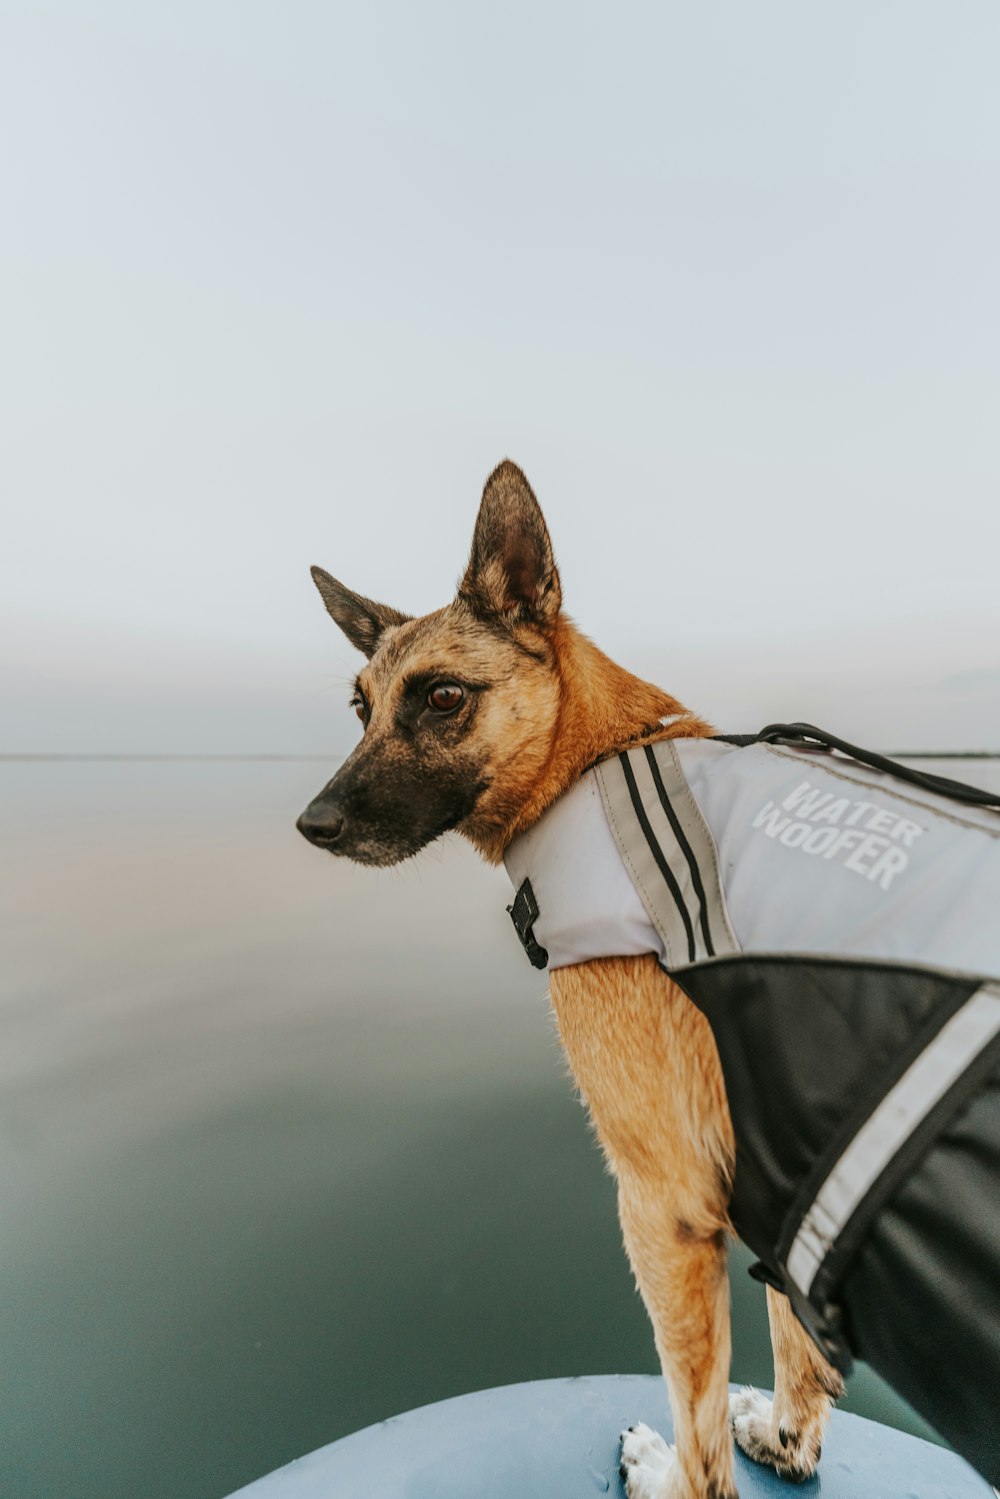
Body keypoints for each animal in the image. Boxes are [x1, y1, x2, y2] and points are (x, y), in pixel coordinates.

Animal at [296, 461, 1000, 1493]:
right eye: (362, 707)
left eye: (443, 697)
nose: (312, 825)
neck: (594, 757)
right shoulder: (776, 1184)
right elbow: (793, 1345)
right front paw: (788, 1435)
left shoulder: (662, 1207)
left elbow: (702, 1451)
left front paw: (668, 1465)